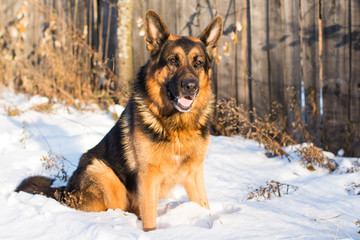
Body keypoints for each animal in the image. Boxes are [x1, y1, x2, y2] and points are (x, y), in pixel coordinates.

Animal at [16, 9, 222, 231]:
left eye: (198, 63)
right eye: (173, 61)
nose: (191, 86)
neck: (177, 124)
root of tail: (67, 189)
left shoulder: (194, 174)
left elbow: (205, 207)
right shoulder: (148, 178)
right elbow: (150, 220)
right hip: (103, 172)